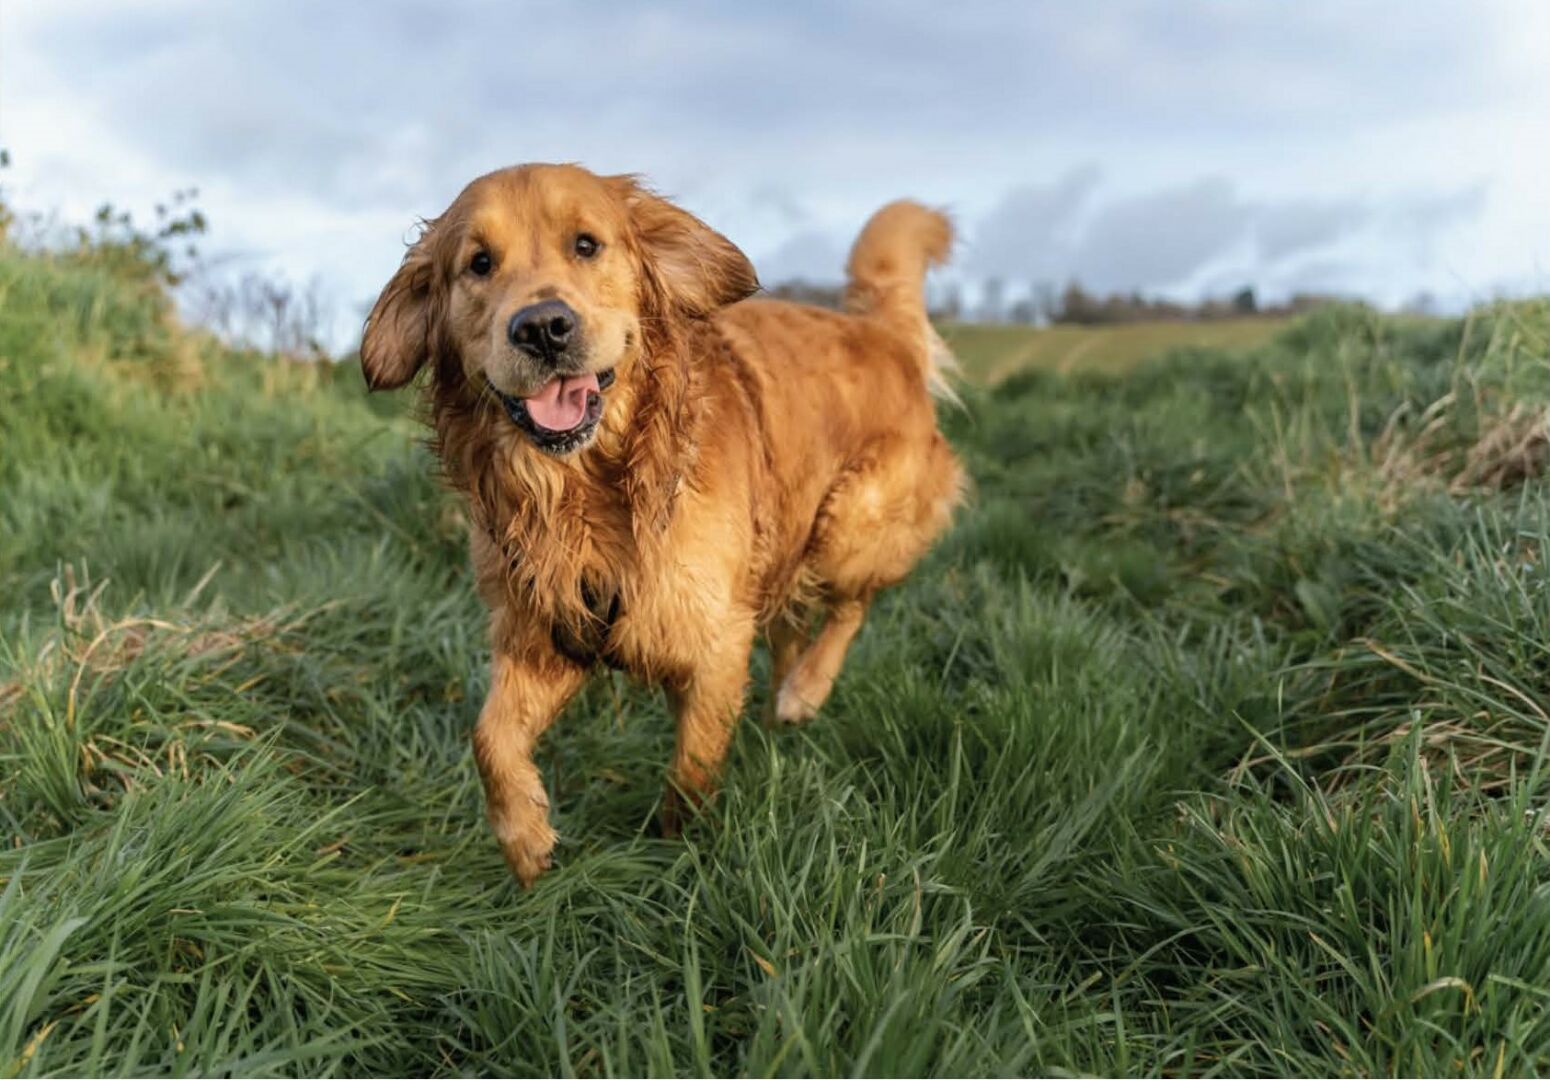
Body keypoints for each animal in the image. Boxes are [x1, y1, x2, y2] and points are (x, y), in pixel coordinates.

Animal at [364, 164, 961, 880]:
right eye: (479, 263)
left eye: (587, 245)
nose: (542, 328)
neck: (586, 491)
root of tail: (883, 336)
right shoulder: (545, 638)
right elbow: (488, 739)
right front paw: (527, 840)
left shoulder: (713, 641)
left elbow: (691, 772)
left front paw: (682, 858)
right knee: (793, 625)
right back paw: (779, 708)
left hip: (847, 525)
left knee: (850, 605)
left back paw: (805, 692)